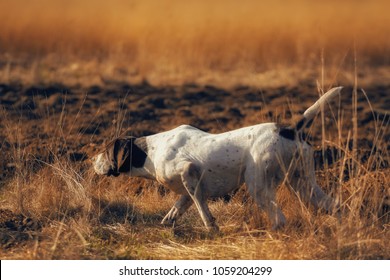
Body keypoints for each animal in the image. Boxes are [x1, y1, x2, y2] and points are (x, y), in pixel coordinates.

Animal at [93, 86, 342, 231]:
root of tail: (291, 129)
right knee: (334, 205)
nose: (91, 160)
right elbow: (178, 206)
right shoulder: (188, 187)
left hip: (259, 186)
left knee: (279, 219)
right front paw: (168, 223)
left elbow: (202, 208)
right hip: (304, 184)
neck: (150, 153)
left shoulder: (188, 171)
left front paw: (211, 228)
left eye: (105, 151)